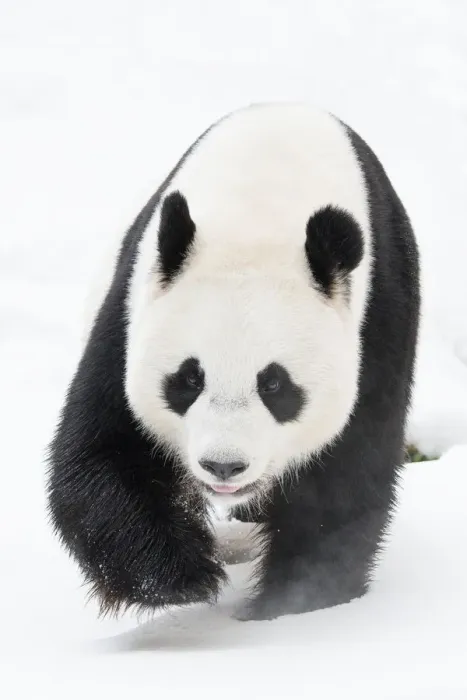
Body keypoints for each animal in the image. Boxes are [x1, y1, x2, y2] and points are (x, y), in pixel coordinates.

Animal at [47, 102, 420, 621]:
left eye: (275, 385)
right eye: (187, 380)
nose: (224, 466)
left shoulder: (379, 319)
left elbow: (342, 481)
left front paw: (287, 606)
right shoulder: (129, 308)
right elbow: (105, 451)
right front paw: (180, 576)